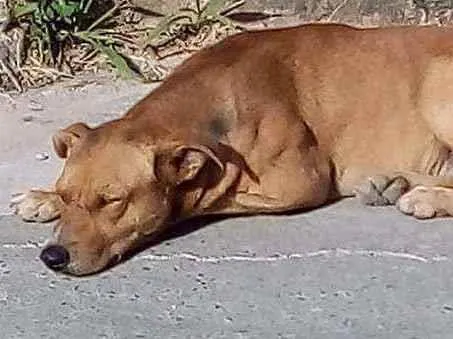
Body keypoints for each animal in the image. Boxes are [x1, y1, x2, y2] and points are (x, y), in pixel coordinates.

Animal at [9, 23, 453, 276]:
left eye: (112, 201)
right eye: (68, 195)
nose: (52, 258)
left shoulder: (298, 185)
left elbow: (205, 199)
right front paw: (43, 197)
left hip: (437, 85)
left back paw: (424, 195)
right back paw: (394, 182)